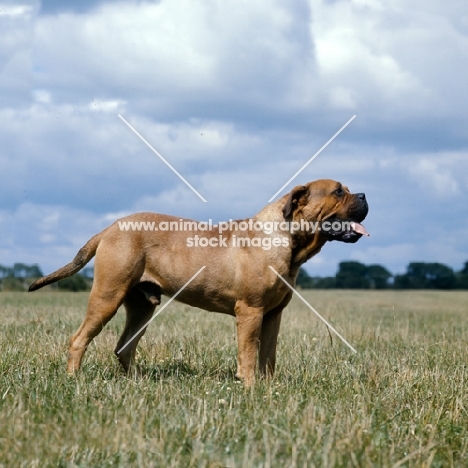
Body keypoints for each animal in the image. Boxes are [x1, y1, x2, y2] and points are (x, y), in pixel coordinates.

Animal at [29, 178, 370, 384]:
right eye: (338, 191)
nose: (366, 194)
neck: (286, 237)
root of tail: (110, 227)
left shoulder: (273, 315)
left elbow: (268, 355)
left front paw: (268, 386)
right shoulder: (250, 312)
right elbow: (249, 353)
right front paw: (250, 387)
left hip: (141, 307)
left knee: (124, 346)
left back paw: (137, 381)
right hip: (107, 296)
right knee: (79, 339)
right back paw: (73, 379)